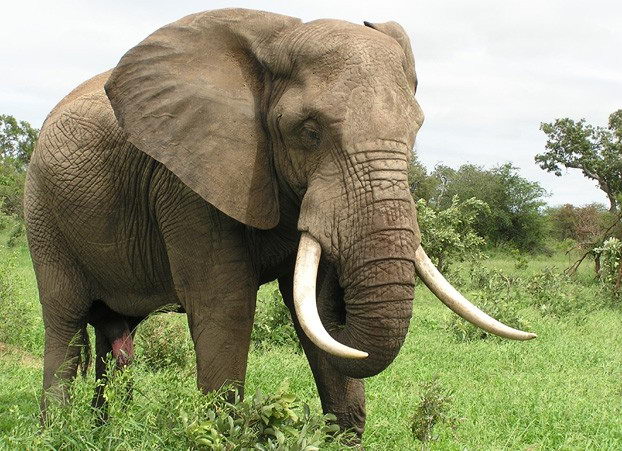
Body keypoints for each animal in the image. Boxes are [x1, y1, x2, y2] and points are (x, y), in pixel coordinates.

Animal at [25, 7, 536, 438]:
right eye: (309, 132)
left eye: (416, 131)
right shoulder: (188, 180)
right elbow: (225, 304)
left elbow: (317, 309)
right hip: (42, 213)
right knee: (65, 327)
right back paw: (57, 433)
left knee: (115, 334)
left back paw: (102, 432)